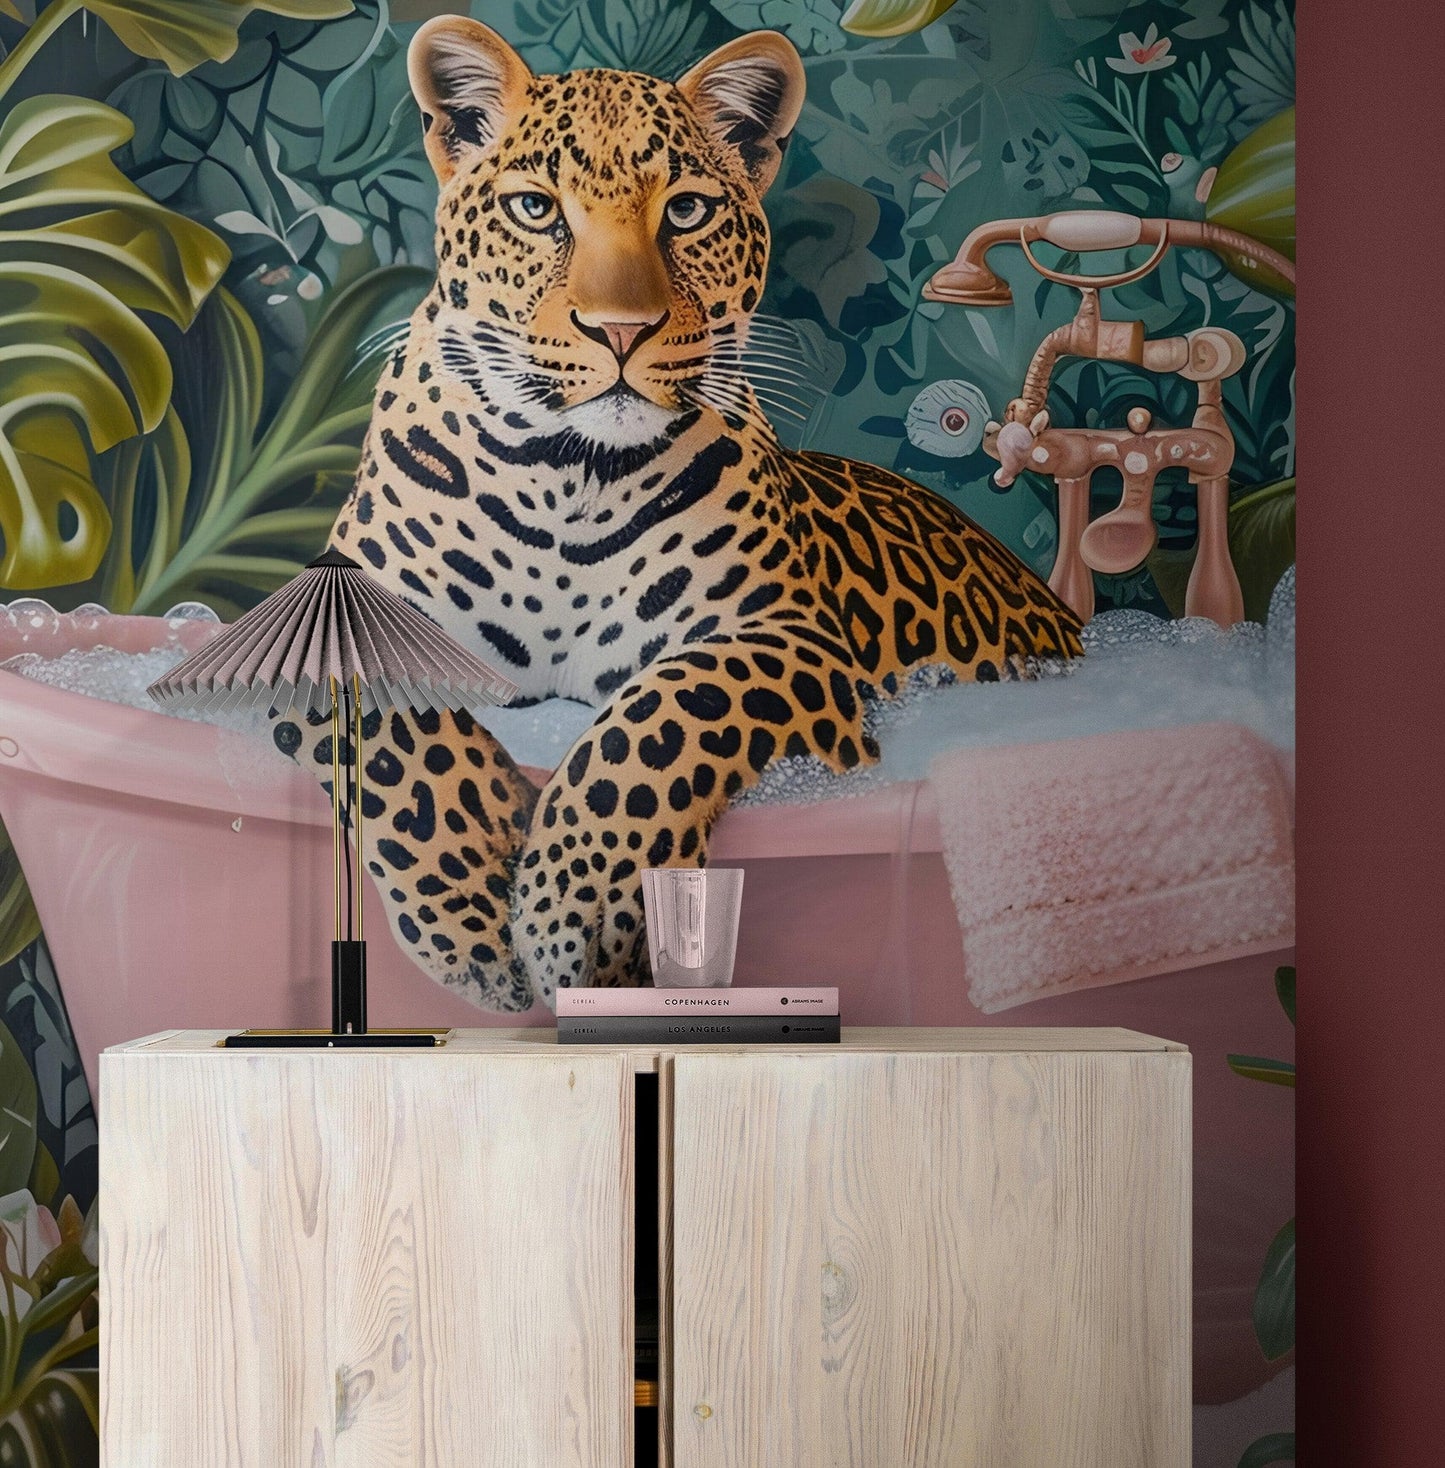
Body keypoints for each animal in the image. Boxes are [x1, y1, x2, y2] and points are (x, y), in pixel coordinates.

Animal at [274, 17, 1084, 1011]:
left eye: (688, 211)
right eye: (536, 209)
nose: (621, 330)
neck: (567, 478)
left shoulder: (785, 636)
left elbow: (662, 717)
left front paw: (578, 913)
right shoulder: (325, 620)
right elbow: (399, 736)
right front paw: (475, 914)